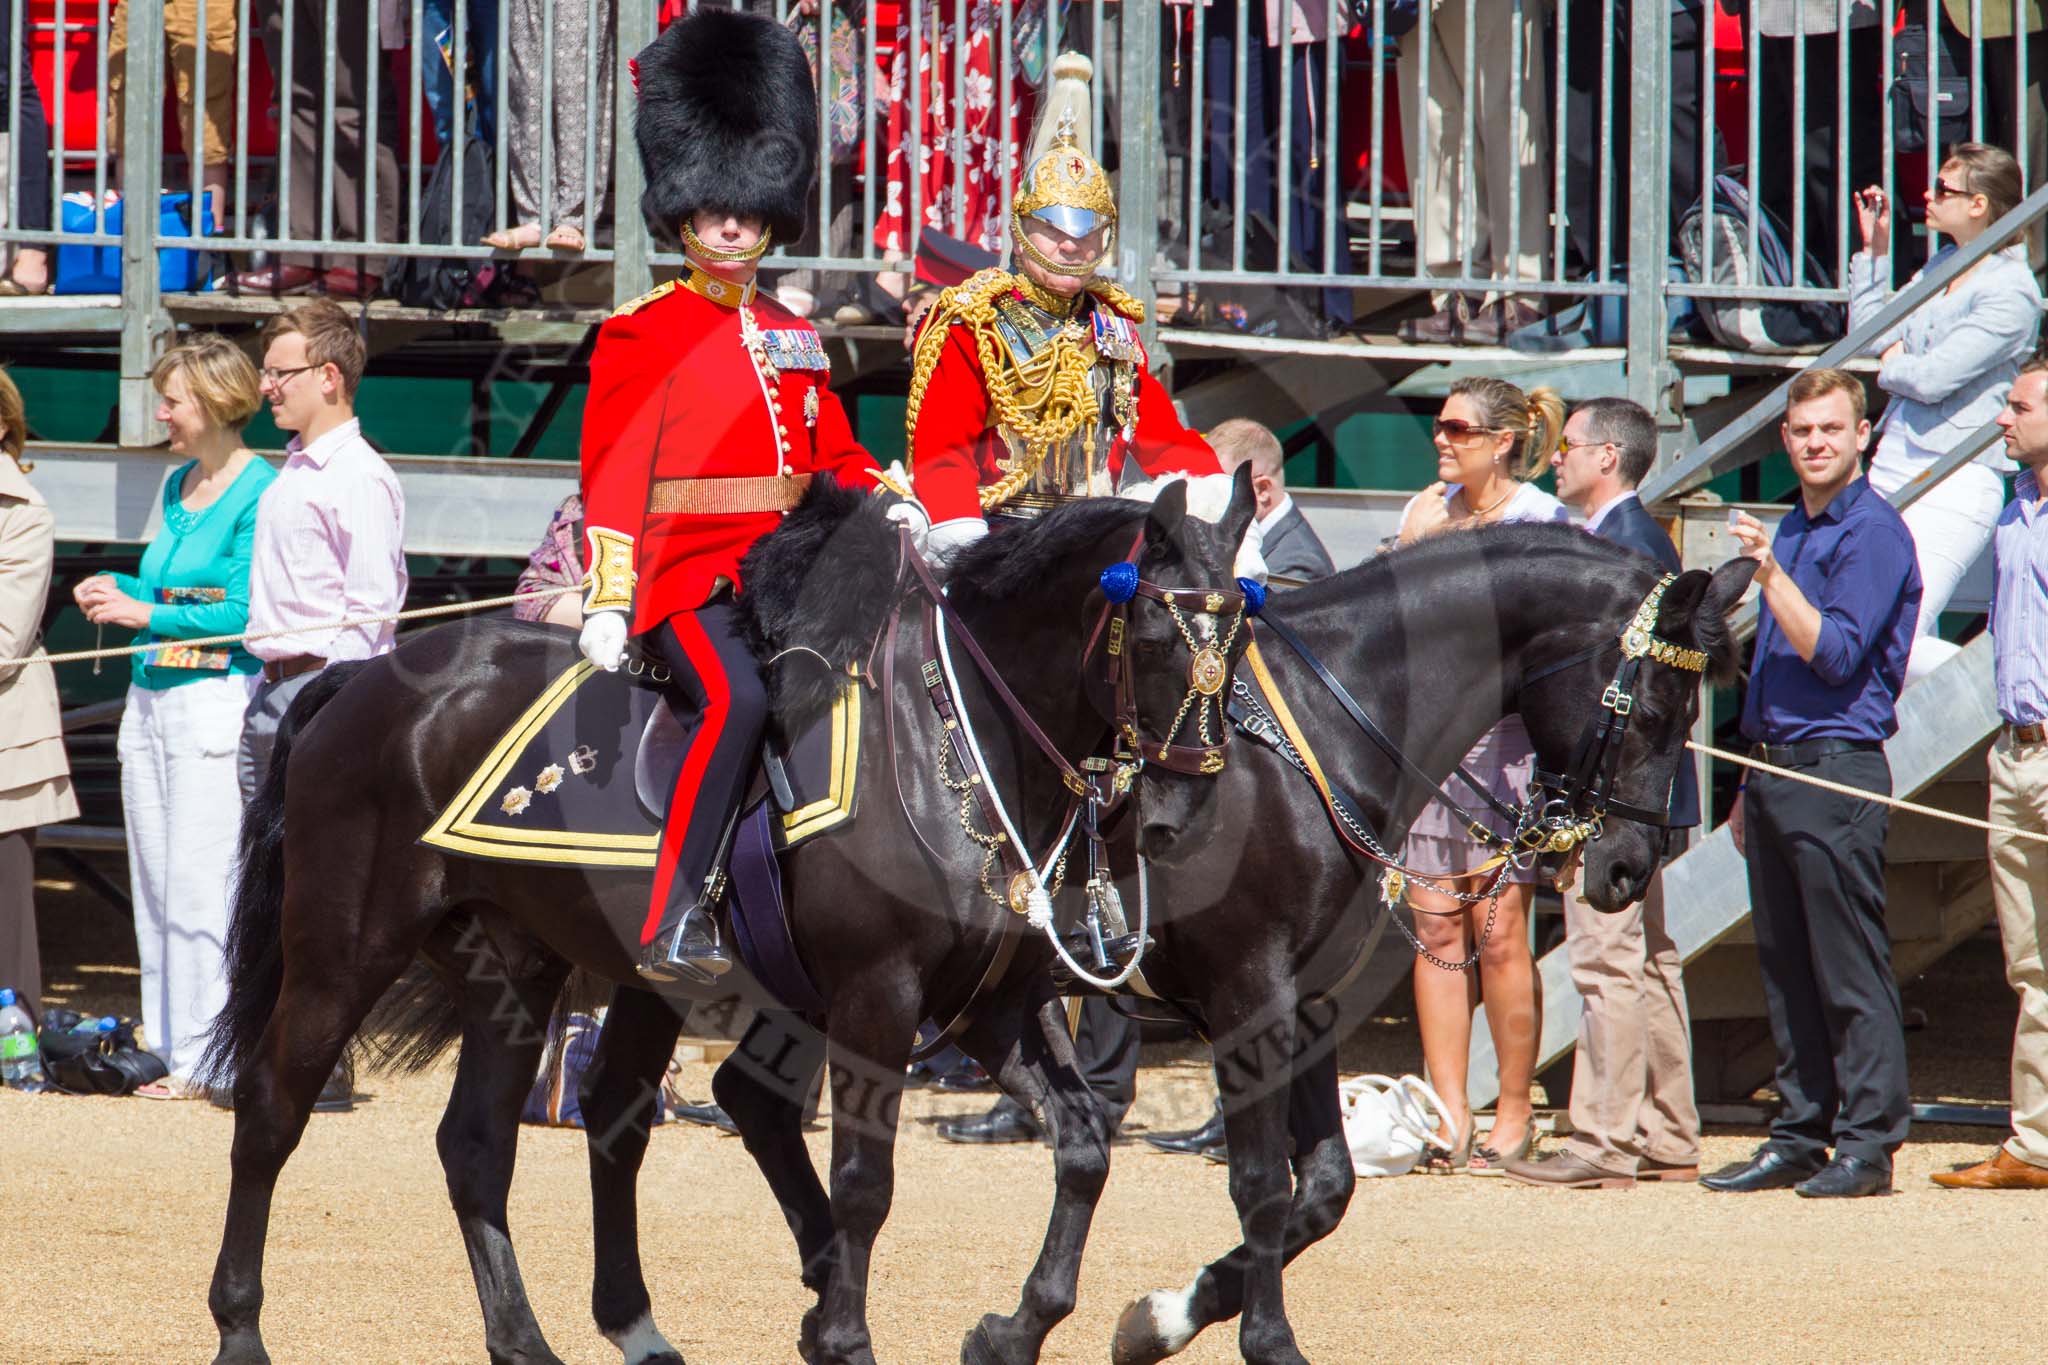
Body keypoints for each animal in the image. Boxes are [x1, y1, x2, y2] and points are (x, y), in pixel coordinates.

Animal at [207, 478, 1253, 1365]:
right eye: (1153, 635)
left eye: (1239, 643)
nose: (1182, 815)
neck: (953, 739)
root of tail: (364, 675)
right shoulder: (878, 995)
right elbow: (865, 1182)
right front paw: (845, 1335)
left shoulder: (993, 1002)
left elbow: (1082, 1146)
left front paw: (1014, 1326)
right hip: (344, 951)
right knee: (271, 1110)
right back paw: (240, 1328)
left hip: (519, 966)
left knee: (480, 1144)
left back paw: (536, 1339)